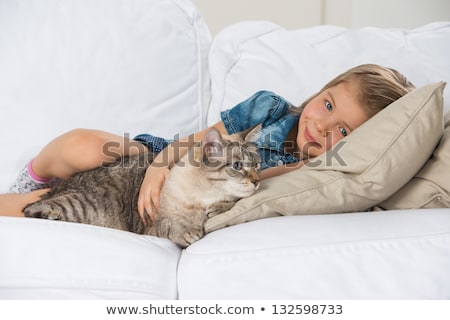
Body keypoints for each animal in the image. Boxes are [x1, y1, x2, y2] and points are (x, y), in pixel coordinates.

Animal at [22, 129, 260, 248]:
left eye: (258, 164)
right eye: (237, 166)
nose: (257, 181)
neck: (203, 198)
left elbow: (231, 202)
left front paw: (217, 208)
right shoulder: (151, 227)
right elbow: (171, 225)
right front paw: (188, 231)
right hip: (83, 206)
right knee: (30, 209)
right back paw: (49, 214)